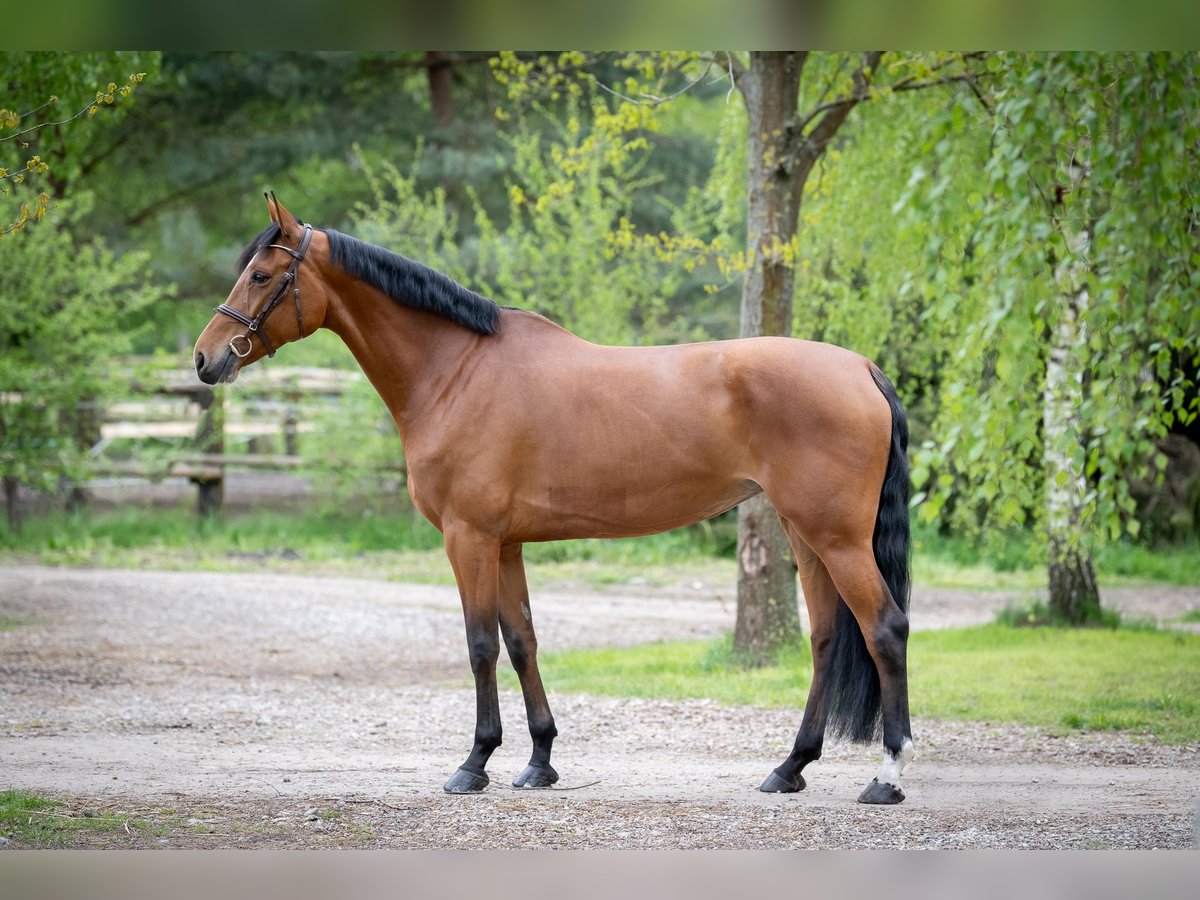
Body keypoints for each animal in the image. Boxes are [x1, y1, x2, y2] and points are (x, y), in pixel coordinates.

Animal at [192, 195, 912, 801]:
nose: (205, 359)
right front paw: (539, 761)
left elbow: (479, 644)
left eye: (262, 275)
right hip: (805, 534)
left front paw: (473, 764)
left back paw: (887, 774)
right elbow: (522, 642)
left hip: (837, 538)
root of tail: (861, 368)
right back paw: (789, 768)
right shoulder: (506, 543)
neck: (455, 373)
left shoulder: (469, 538)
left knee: (885, 628)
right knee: (826, 638)